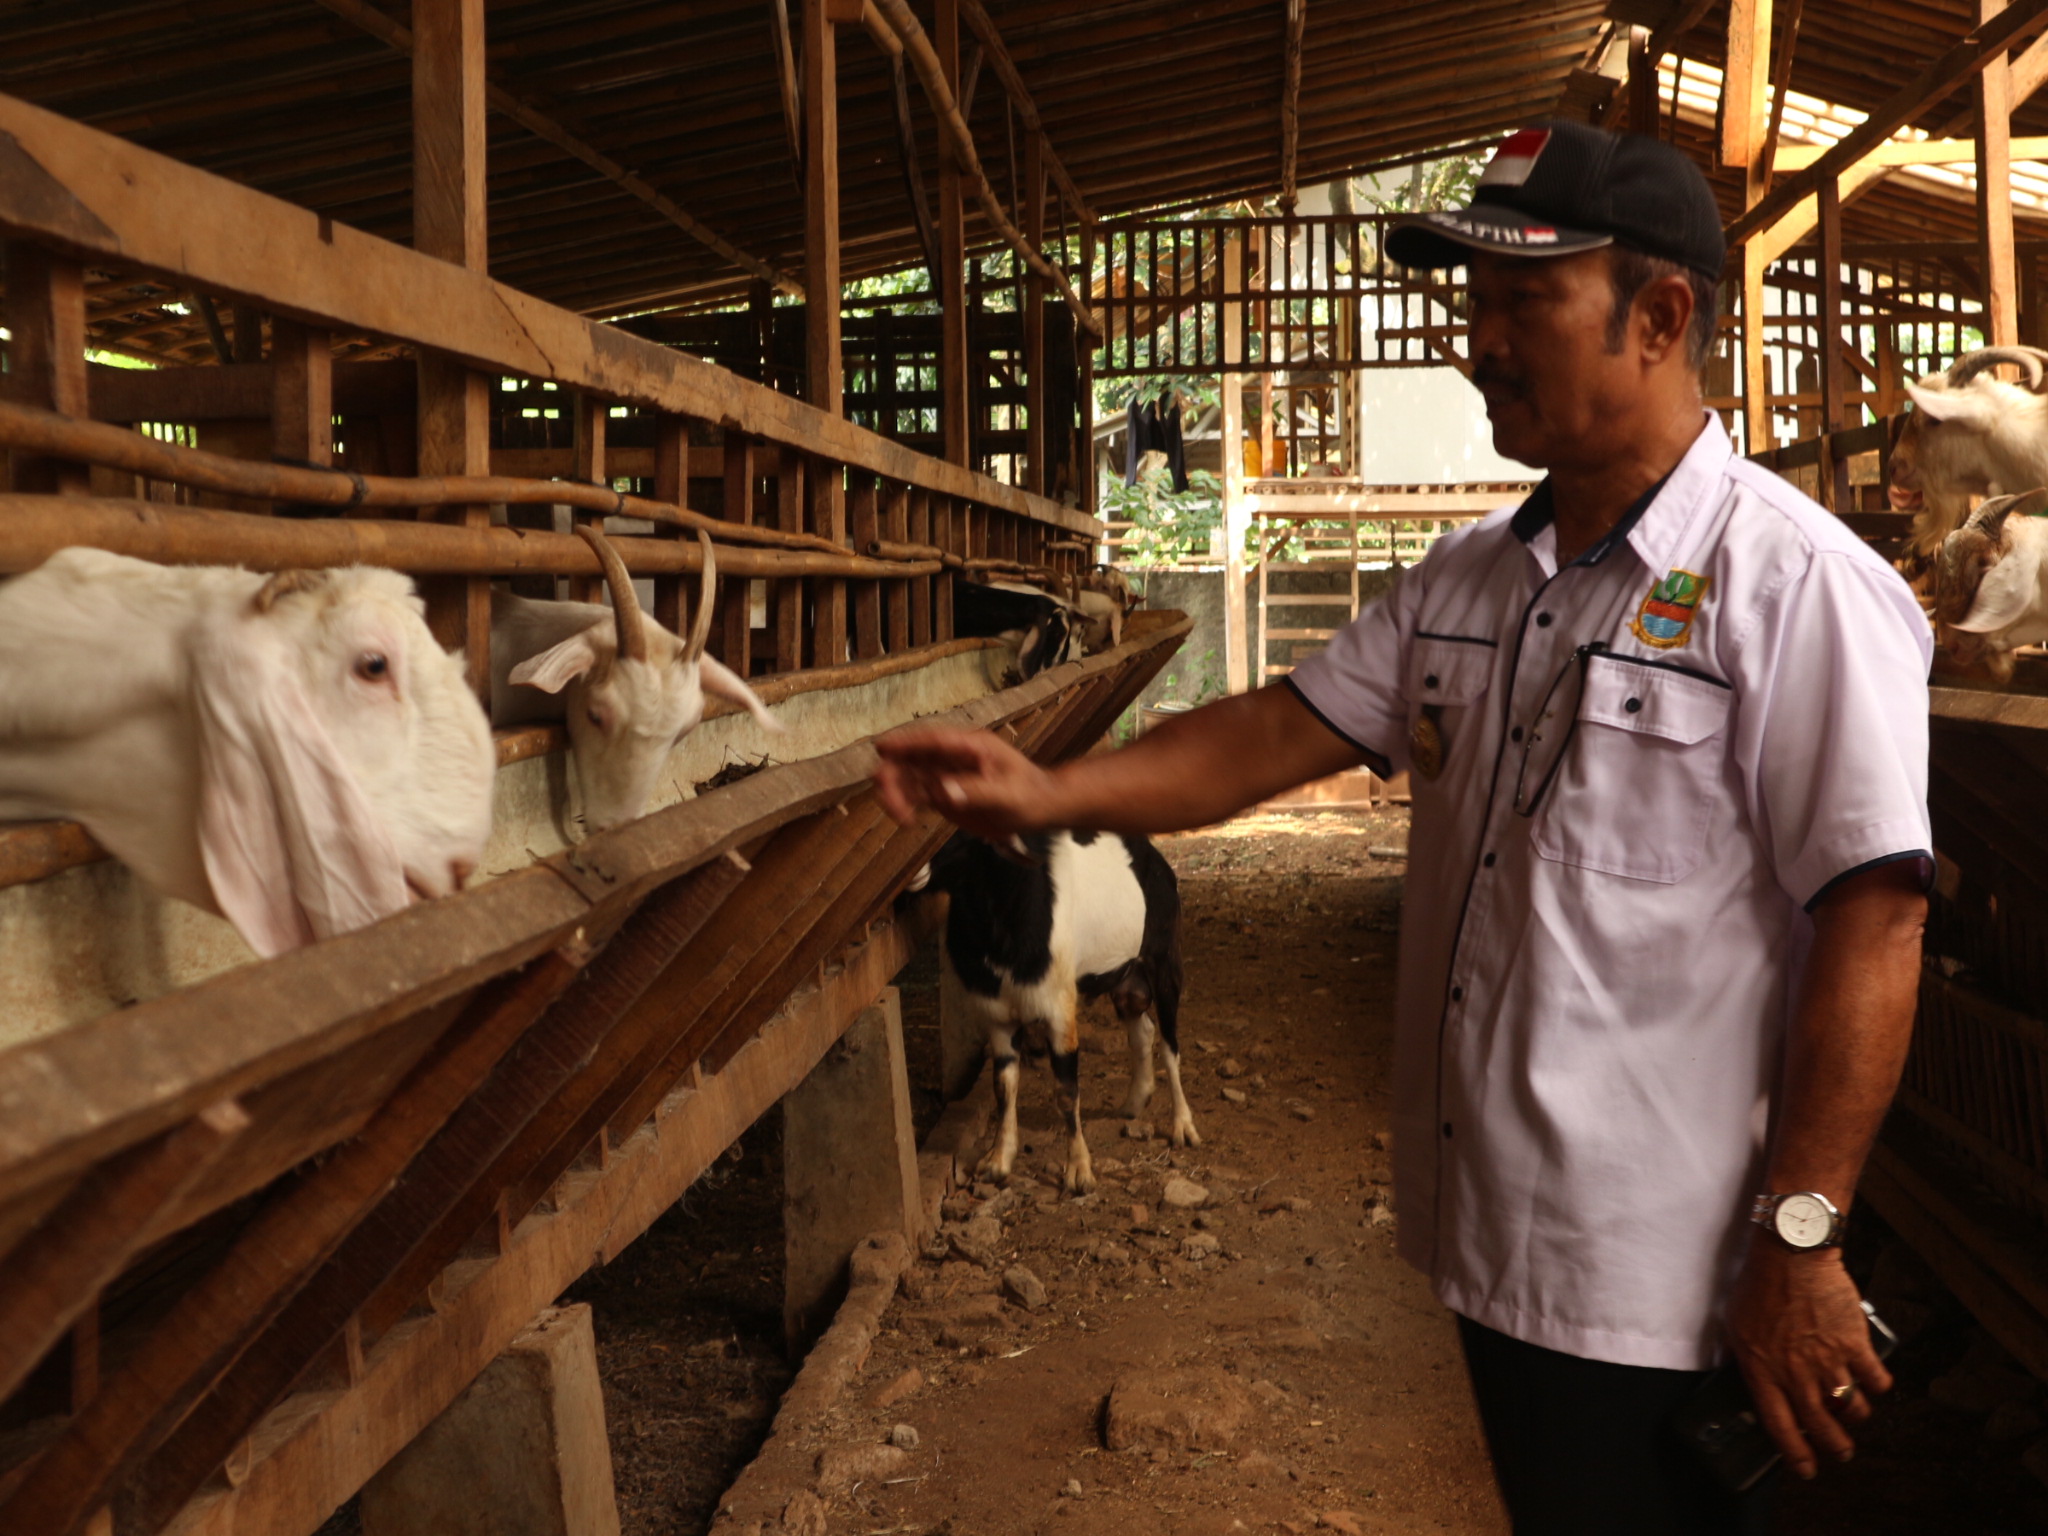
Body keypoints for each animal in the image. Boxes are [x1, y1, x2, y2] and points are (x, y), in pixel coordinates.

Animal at [921, 831, 1196, 1204]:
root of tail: (1157, 858)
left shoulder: (1059, 1009)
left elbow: (1066, 1091)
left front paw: (1079, 1173)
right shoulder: (997, 1017)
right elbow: (1003, 1085)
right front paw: (998, 1161)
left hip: (1164, 960)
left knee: (1170, 1042)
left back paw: (1183, 1126)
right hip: (1124, 980)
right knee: (1142, 1027)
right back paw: (1134, 1102)